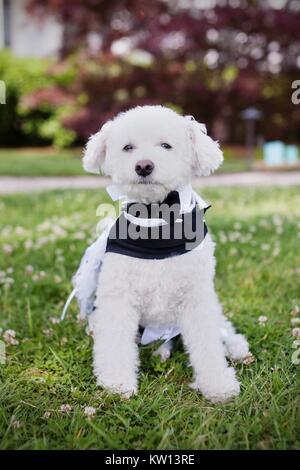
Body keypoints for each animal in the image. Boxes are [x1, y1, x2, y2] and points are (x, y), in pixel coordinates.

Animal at [82, 104, 251, 402]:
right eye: (128, 147)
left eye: (166, 145)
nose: (144, 166)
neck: (156, 220)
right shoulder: (118, 299)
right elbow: (115, 344)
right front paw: (117, 382)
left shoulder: (197, 299)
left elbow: (208, 345)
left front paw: (217, 384)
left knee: (223, 328)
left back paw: (237, 347)